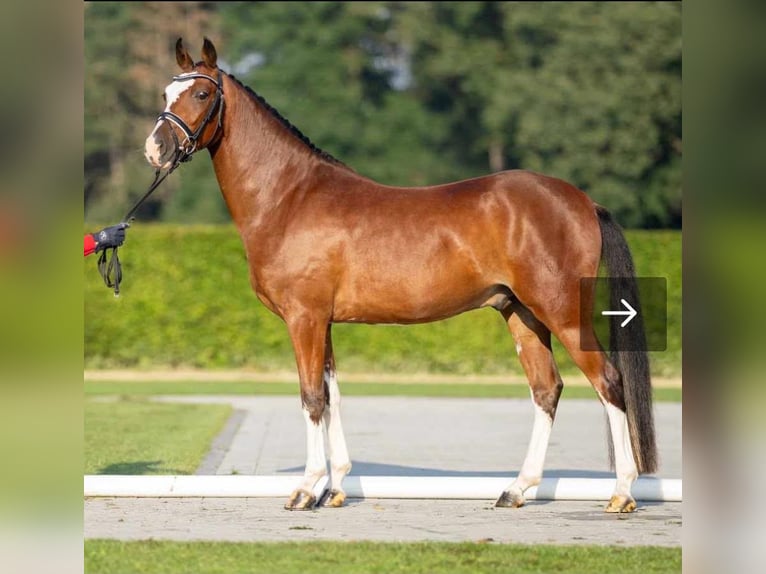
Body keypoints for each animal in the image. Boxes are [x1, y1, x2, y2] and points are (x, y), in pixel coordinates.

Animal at [144, 38, 656, 513]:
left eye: (203, 94)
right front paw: (335, 488)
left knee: (609, 383)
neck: (290, 196)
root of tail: (582, 201)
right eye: (167, 91)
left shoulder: (304, 318)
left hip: (562, 313)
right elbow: (331, 396)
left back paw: (622, 493)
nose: (156, 148)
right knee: (547, 390)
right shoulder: (323, 322)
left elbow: (311, 398)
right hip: (521, 314)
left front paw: (306, 490)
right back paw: (516, 489)